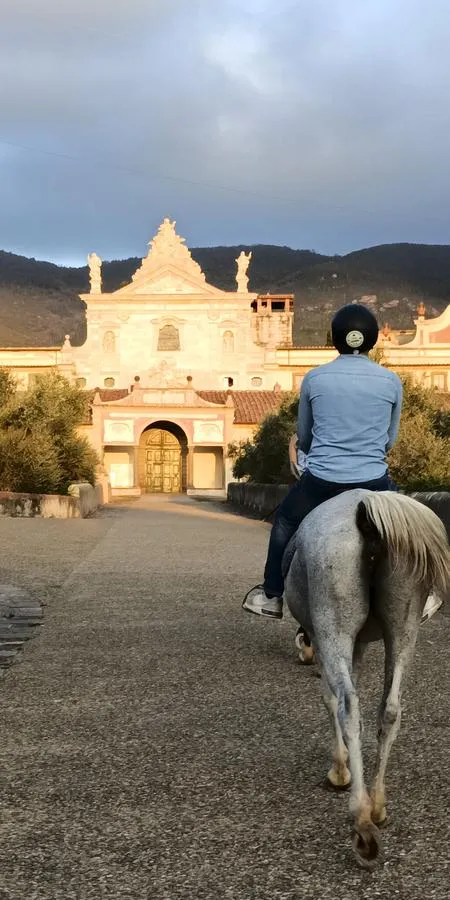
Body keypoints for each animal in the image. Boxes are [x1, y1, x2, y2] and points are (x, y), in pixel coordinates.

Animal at [283, 489, 449, 870]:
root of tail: (368, 506)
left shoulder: (327, 638)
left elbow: (331, 698)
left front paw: (339, 769)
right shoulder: (358, 643)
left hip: (334, 624)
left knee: (348, 705)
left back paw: (361, 820)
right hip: (404, 625)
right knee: (390, 709)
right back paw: (377, 805)